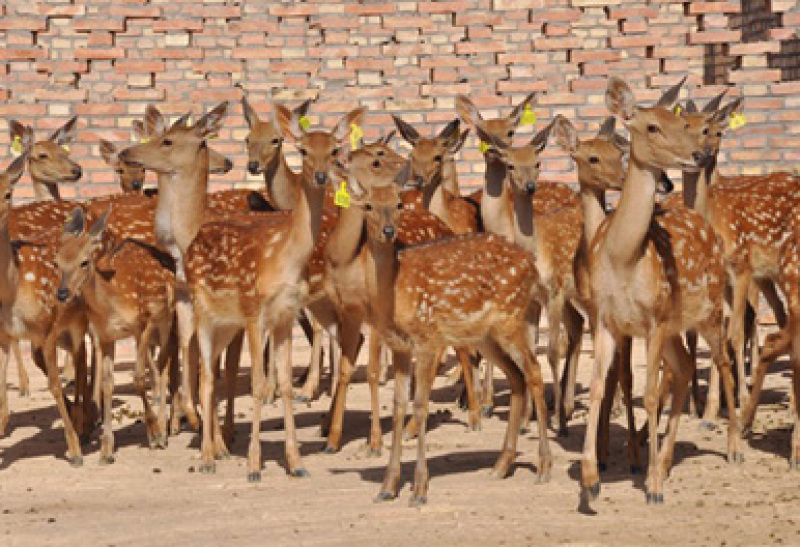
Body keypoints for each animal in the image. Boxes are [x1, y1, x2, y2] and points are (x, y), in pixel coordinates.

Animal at [342, 170, 550, 505]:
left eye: (399, 203)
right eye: (369, 205)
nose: (388, 231)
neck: (395, 294)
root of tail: (531, 262)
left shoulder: (428, 338)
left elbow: (420, 404)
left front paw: (419, 489)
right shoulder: (400, 347)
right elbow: (398, 405)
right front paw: (387, 487)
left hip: (512, 319)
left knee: (534, 371)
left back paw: (544, 467)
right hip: (485, 336)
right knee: (516, 377)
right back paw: (501, 465)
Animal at [579, 76, 742, 506]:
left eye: (681, 122)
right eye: (652, 126)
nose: (699, 154)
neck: (623, 257)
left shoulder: (652, 319)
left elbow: (651, 394)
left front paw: (651, 486)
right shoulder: (606, 319)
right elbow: (599, 386)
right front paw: (590, 481)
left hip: (710, 309)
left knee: (723, 359)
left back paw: (733, 447)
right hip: (673, 327)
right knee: (684, 368)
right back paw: (667, 462)